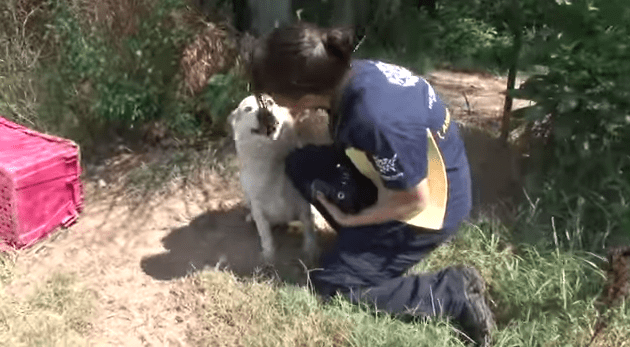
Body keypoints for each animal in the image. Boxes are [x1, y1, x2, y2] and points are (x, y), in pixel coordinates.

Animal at [228, 94, 320, 266]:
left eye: (269, 102)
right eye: (248, 109)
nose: (264, 112)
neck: (271, 157)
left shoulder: (302, 201)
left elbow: (308, 227)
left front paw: (310, 250)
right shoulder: (258, 206)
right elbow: (265, 235)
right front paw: (268, 256)